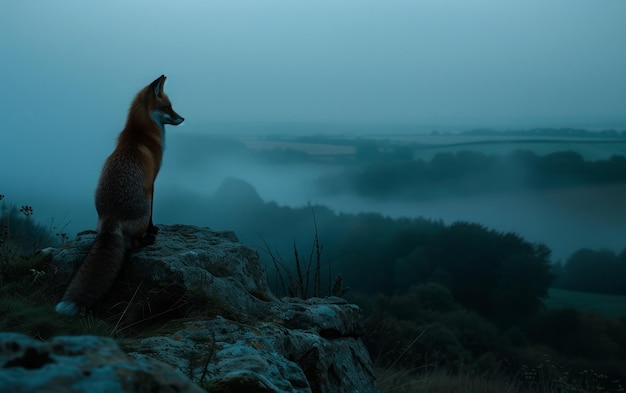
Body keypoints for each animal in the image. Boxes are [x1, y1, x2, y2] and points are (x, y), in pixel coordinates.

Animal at [55, 75, 184, 316]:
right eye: (167, 107)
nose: (182, 118)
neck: (140, 133)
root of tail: (110, 220)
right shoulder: (151, 183)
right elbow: (153, 214)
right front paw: (154, 229)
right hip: (142, 208)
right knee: (132, 244)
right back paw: (147, 240)